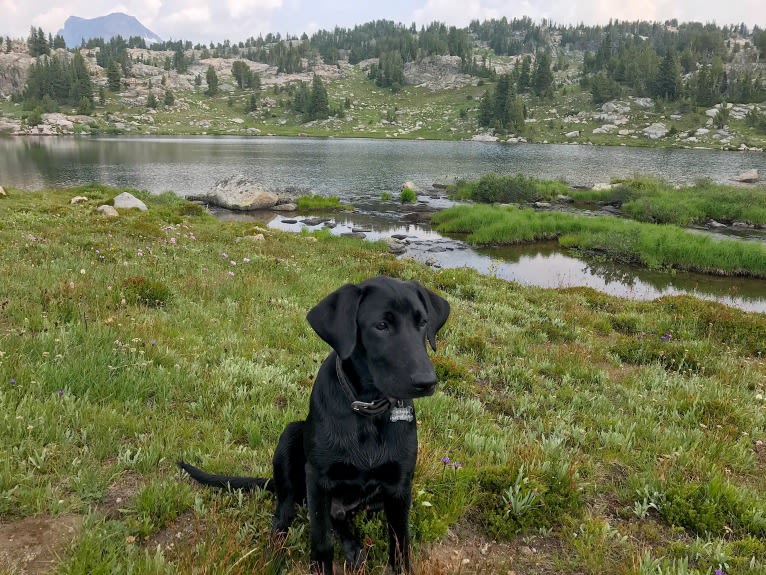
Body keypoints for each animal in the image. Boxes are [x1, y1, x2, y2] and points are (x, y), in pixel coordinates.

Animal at [182, 276, 450, 572]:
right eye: (381, 325)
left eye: (422, 322)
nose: (427, 381)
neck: (367, 410)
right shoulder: (318, 478)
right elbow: (321, 541)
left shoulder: (400, 484)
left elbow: (400, 544)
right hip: (290, 437)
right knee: (286, 512)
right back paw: (277, 553)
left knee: (339, 517)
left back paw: (353, 547)